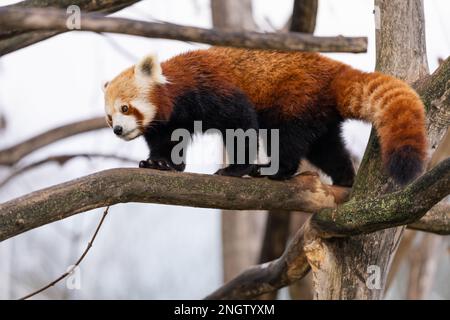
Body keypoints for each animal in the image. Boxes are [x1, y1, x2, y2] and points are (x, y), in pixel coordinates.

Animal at [103, 48, 428, 186]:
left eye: (125, 108)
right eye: (109, 117)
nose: (117, 129)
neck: (179, 92)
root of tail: (334, 69)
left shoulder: (211, 90)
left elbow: (241, 123)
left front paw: (236, 169)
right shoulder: (170, 120)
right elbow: (167, 141)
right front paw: (160, 163)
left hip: (295, 99)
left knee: (287, 137)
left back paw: (277, 170)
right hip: (318, 112)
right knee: (326, 147)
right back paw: (344, 177)